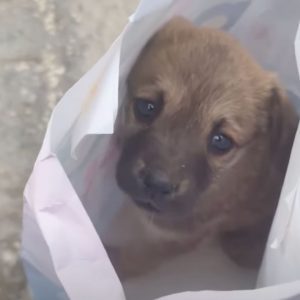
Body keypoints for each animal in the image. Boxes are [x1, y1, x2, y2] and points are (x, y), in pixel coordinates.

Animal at [107, 15, 298, 278]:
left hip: (236, 247)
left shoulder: (175, 240)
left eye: (221, 141)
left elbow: (128, 260)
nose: (157, 184)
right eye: (146, 107)